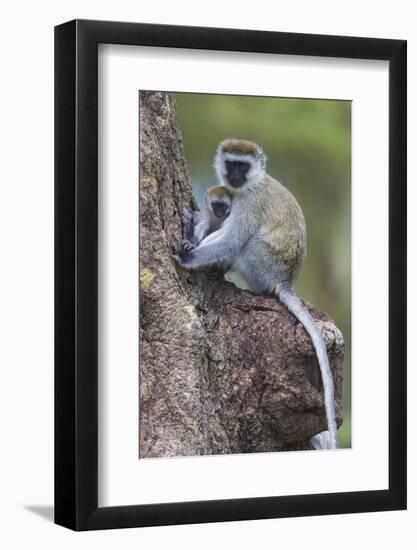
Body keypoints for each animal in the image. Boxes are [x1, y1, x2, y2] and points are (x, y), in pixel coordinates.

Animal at [174, 140, 340, 450]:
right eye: (232, 163)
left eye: (243, 165)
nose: (234, 175)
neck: (250, 185)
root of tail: (284, 281)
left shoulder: (248, 204)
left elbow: (233, 239)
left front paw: (189, 255)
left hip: (262, 264)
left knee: (246, 243)